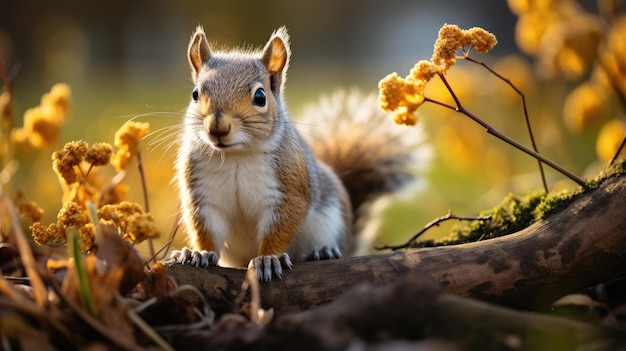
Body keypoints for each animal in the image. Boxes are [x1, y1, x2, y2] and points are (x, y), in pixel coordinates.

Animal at [171, 26, 420, 282]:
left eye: (260, 97)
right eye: (195, 94)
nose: (217, 127)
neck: (235, 156)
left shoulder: (289, 190)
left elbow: (280, 228)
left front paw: (268, 259)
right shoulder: (203, 194)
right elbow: (205, 229)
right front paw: (199, 253)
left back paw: (323, 251)